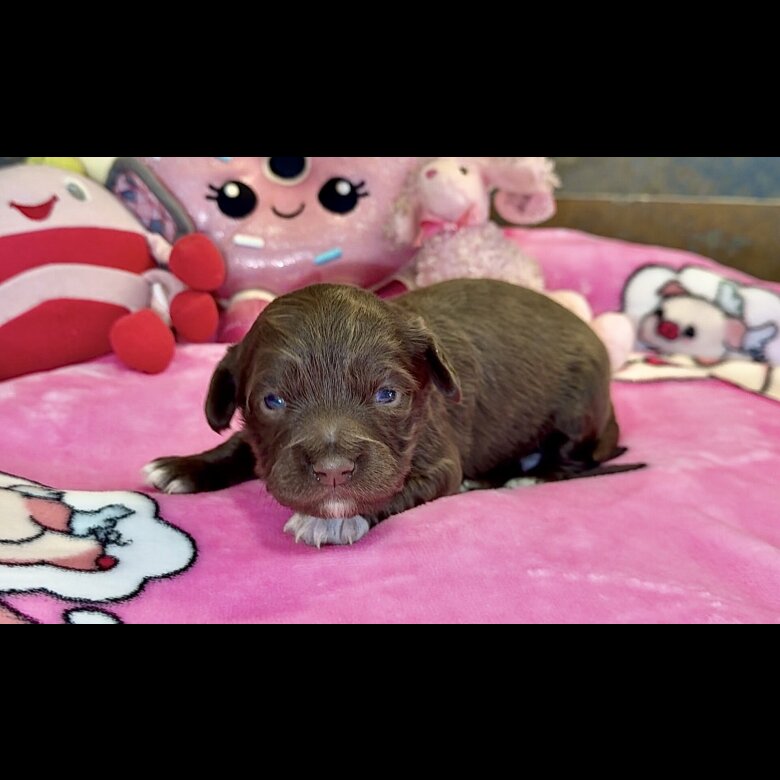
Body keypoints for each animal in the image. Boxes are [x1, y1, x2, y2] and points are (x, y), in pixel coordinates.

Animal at [145, 280, 642, 547]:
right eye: (273, 402)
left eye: (388, 395)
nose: (332, 470)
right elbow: (240, 443)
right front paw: (184, 466)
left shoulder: (439, 459)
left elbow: (396, 489)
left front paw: (334, 519)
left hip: (578, 412)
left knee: (571, 457)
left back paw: (528, 476)